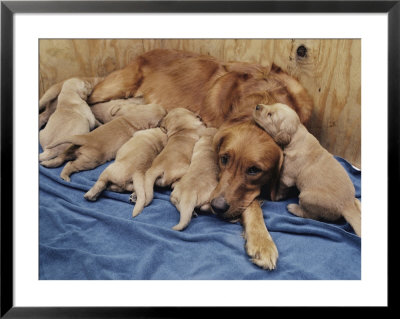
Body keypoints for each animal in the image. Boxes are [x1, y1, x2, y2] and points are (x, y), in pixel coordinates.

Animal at [86, 49, 314, 270]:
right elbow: (252, 205)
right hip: (112, 88)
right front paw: (262, 242)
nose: (218, 206)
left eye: (254, 170)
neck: (267, 100)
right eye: (224, 159)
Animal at [253, 103, 362, 238]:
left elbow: (282, 188)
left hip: (307, 197)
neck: (296, 134)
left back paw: (293, 208)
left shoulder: (287, 177)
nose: (257, 106)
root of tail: (347, 206)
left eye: (270, 115)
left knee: (311, 216)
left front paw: (277, 197)